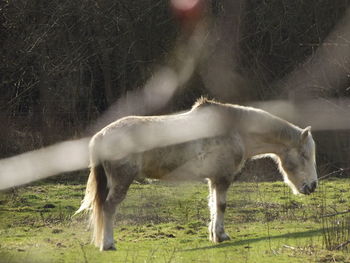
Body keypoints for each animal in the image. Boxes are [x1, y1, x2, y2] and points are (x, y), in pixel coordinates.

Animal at [76, 98, 318, 252]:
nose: (313, 186)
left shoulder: (214, 179)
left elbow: (213, 205)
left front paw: (214, 235)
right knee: (109, 208)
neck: (237, 131)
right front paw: (221, 236)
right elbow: (221, 206)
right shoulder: (223, 178)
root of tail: (101, 135)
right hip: (121, 182)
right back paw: (108, 244)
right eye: (305, 155)